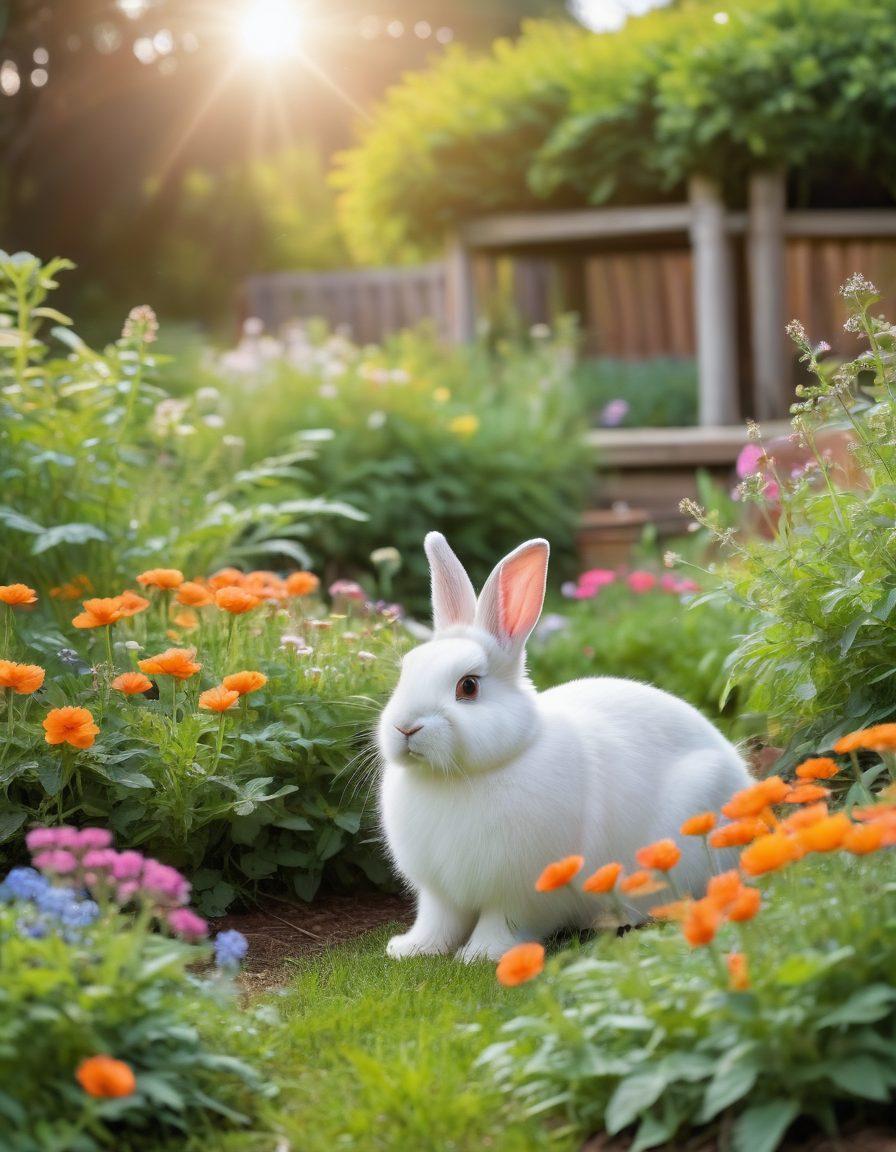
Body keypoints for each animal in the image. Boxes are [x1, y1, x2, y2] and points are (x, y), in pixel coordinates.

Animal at [377, 532, 753, 962]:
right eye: (406, 670)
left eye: (468, 686)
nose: (405, 727)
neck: (457, 777)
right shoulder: (439, 893)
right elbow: (438, 921)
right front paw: (411, 949)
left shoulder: (519, 893)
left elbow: (501, 923)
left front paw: (482, 955)